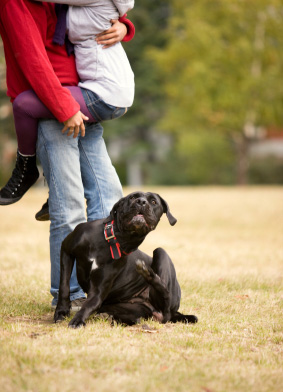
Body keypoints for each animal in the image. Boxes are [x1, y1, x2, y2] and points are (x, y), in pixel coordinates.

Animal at [55, 191, 197, 326]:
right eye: (132, 197)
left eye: (153, 201)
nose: (141, 201)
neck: (115, 240)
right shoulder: (66, 250)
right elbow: (64, 286)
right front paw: (61, 312)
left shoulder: (98, 290)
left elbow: (89, 304)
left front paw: (77, 319)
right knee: (135, 319)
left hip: (161, 253)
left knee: (166, 306)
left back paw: (148, 273)